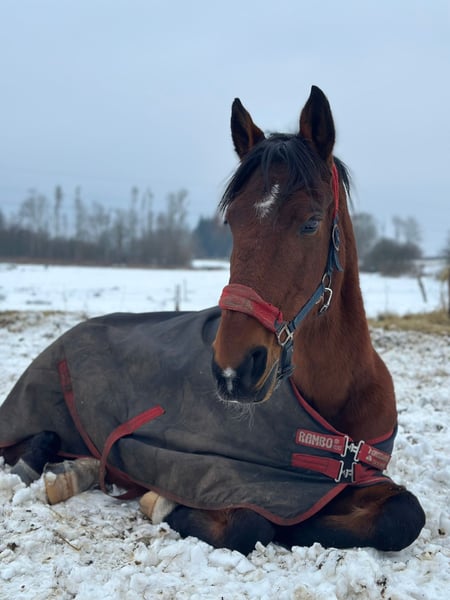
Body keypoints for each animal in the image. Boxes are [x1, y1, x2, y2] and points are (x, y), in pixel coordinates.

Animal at [0, 86, 425, 556]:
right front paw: (164, 503)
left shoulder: (352, 480)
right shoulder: (219, 473)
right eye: (231, 221)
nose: (233, 370)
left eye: (312, 222)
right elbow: (251, 523)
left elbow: (404, 515)